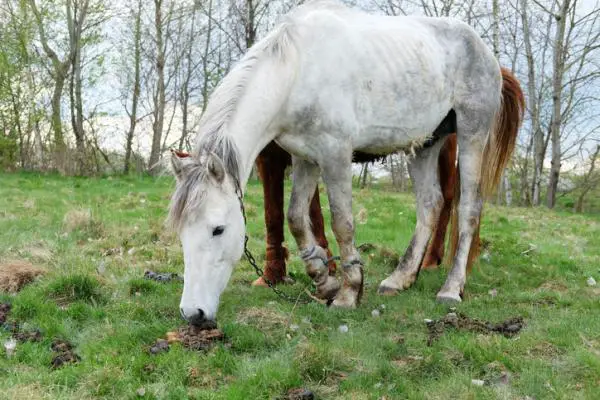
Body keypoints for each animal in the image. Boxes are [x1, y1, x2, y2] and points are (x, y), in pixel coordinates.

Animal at [168, 0, 520, 328]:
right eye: (181, 233)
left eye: (218, 229)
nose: (193, 313)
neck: (297, 70)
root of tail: (486, 53)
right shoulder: (305, 158)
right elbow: (296, 218)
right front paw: (324, 281)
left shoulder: (335, 156)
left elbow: (342, 223)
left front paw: (349, 292)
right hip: (426, 144)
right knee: (430, 205)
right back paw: (400, 279)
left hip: (472, 134)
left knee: (469, 210)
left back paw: (450, 289)